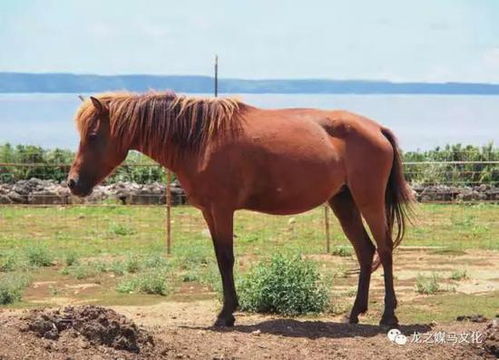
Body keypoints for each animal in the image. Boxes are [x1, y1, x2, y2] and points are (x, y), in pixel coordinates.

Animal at [69, 91, 414, 328]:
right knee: (365, 250)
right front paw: (228, 311)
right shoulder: (208, 211)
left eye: (94, 135)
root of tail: (377, 128)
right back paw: (354, 313)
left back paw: (387, 315)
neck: (199, 139)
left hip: (369, 200)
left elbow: (226, 258)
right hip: (343, 202)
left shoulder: (223, 210)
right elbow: (220, 257)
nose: (73, 183)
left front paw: (226, 314)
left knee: (384, 248)